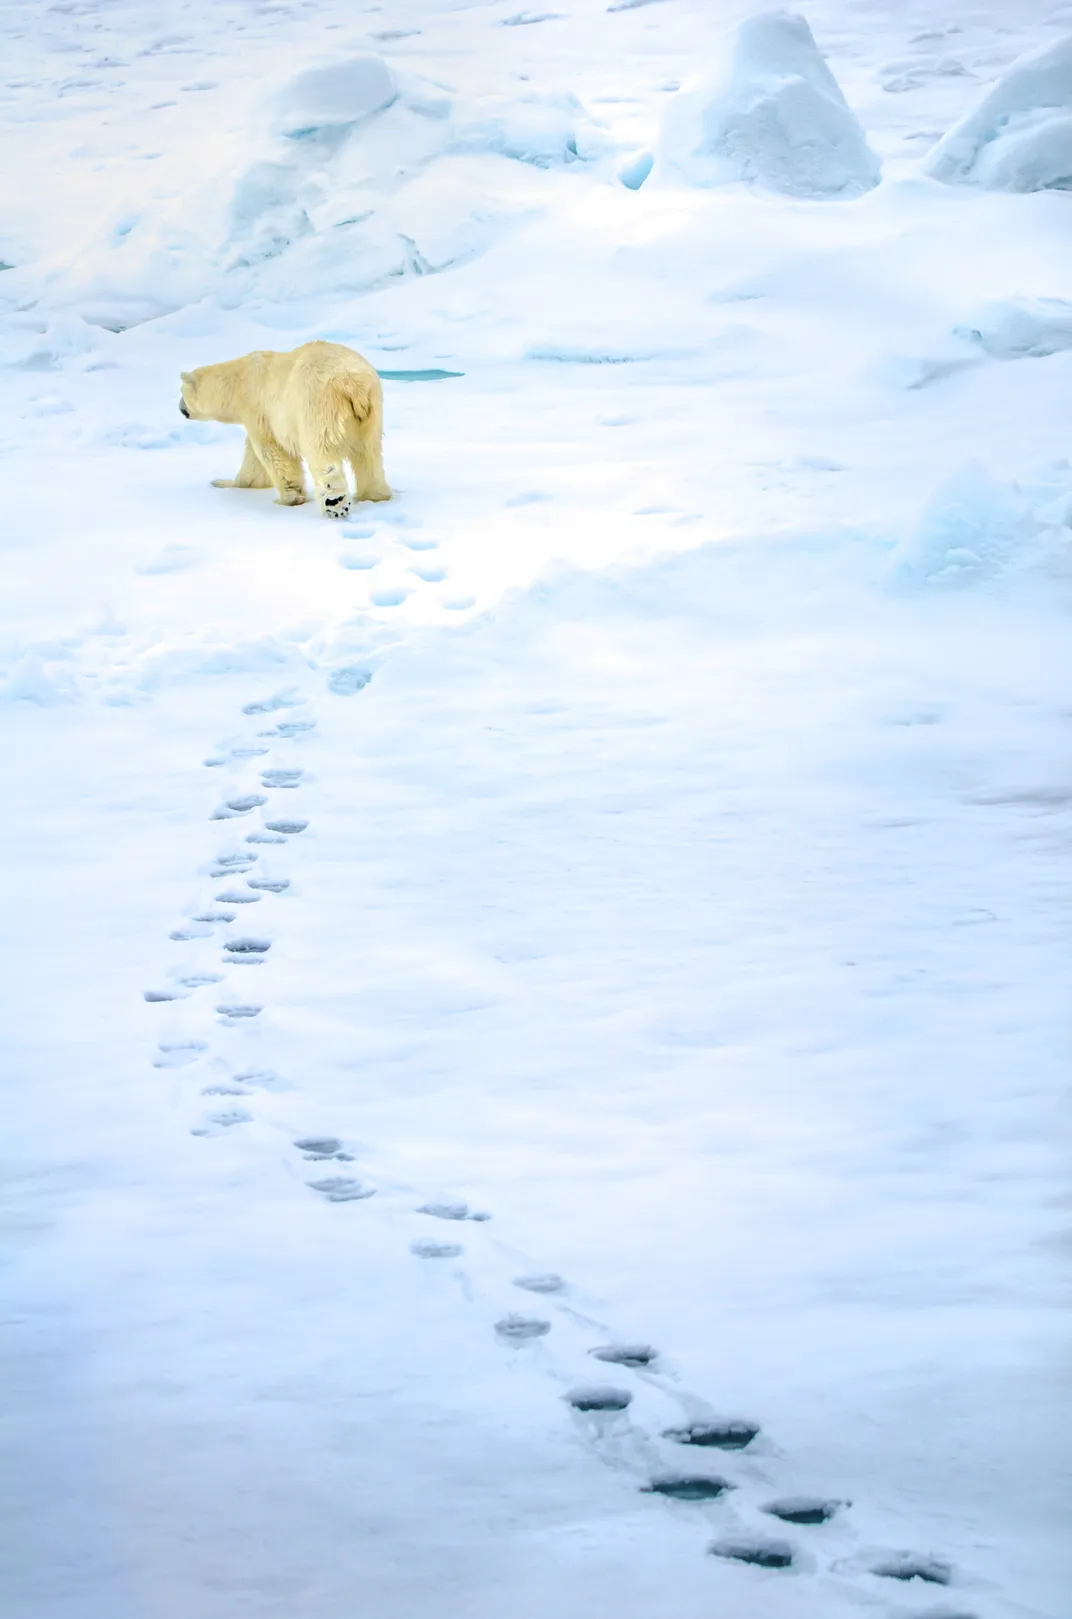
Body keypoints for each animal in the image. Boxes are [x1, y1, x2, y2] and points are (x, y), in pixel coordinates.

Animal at [178, 339, 393, 518]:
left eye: (181, 392)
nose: (180, 408)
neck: (239, 381)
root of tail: (352, 384)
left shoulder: (258, 408)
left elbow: (271, 452)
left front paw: (289, 498)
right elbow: (253, 460)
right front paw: (224, 482)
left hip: (318, 405)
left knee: (323, 453)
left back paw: (335, 504)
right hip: (372, 411)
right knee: (369, 453)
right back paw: (375, 495)